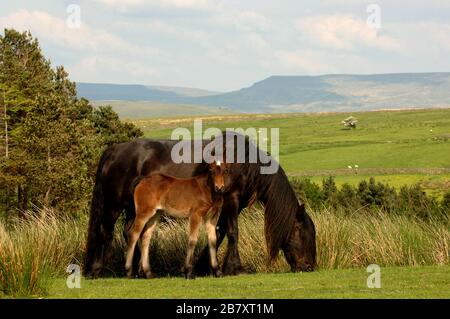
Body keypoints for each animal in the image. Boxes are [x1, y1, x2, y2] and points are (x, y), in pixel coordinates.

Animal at [84, 131, 316, 278]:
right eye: (303, 234)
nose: (310, 267)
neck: (242, 162)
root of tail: (114, 150)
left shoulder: (223, 206)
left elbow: (219, 234)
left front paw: (206, 266)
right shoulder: (231, 201)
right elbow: (233, 233)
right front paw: (236, 267)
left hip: (136, 208)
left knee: (131, 232)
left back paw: (139, 270)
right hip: (114, 205)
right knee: (106, 231)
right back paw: (98, 270)